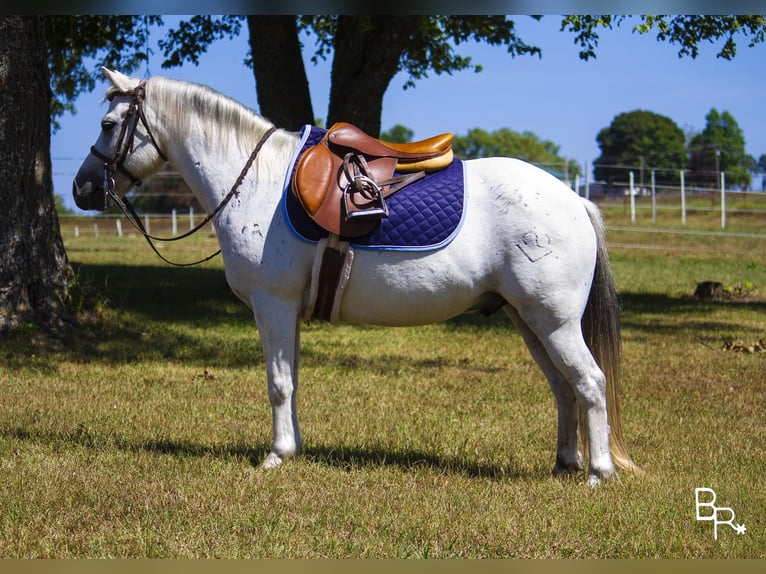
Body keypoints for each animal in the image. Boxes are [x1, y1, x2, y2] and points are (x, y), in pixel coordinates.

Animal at [76, 70, 640, 488]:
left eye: (107, 122)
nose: (82, 188)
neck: (255, 180)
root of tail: (575, 200)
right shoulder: (287, 311)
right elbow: (292, 380)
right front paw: (294, 449)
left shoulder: (272, 304)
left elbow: (278, 384)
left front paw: (276, 456)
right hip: (529, 320)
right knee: (563, 387)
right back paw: (565, 464)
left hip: (554, 321)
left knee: (589, 383)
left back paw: (598, 473)